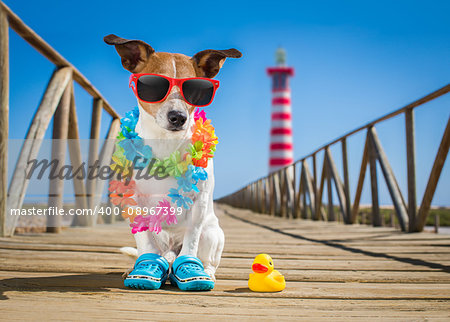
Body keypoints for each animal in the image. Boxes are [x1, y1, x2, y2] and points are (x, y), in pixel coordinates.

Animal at [104, 34, 243, 290]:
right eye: (152, 86)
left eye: (195, 90)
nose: (178, 117)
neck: (165, 145)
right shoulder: (133, 203)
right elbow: (145, 243)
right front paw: (144, 269)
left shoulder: (198, 204)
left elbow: (191, 242)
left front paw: (191, 270)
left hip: (213, 234)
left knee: (206, 259)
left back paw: (205, 272)